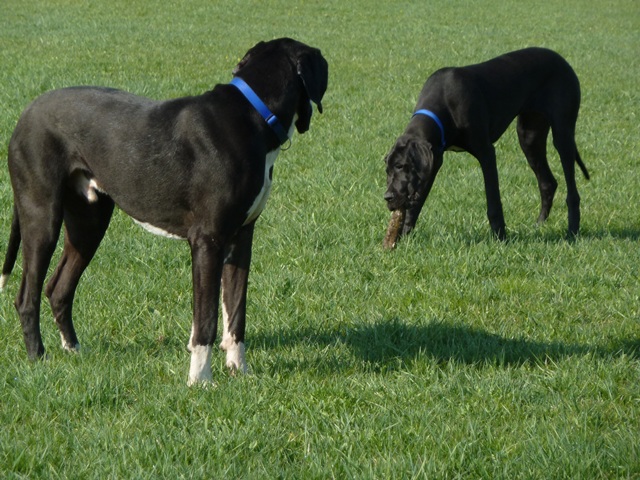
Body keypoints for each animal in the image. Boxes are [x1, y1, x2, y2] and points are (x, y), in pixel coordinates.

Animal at [0, 38, 328, 385]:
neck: (254, 114)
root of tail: (26, 114)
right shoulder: (207, 241)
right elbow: (207, 317)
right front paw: (200, 379)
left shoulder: (241, 238)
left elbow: (236, 309)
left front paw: (239, 369)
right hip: (42, 219)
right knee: (27, 296)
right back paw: (38, 358)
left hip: (88, 223)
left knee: (58, 288)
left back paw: (74, 350)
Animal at [383, 47, 589, 247]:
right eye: (387, 170)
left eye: (400, 166)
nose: (388, 197)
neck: (443, 105)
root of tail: (562, 59)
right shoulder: (434, 161)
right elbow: (416, 205)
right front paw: (402, 237)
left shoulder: (486, 153)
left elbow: (494, 202)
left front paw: (500, 238)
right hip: (529, 136)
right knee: (548, 182)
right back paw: (539, 225)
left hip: (562, 134)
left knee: (572, 190)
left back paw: (572, 231)